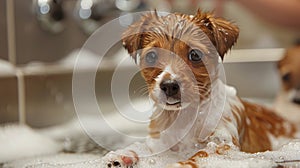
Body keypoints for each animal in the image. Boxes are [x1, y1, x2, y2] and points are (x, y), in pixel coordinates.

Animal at [102, 9, 296, 167]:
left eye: (194, 54)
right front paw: (124, 154)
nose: (169, 86)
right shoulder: (161, 143)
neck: (185, 118)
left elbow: (198, 156)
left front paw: (177, 165)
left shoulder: (221, 144)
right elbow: (146, 148)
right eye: (151, 56)